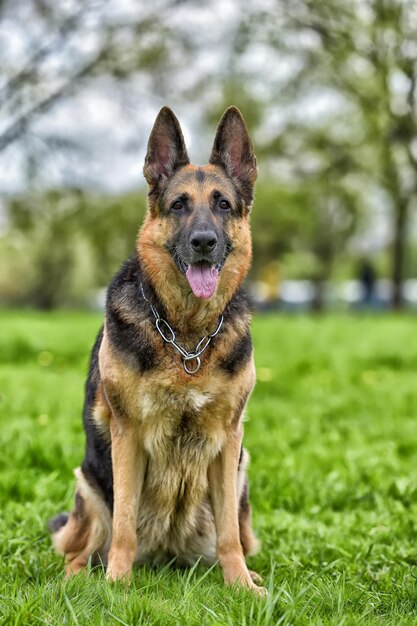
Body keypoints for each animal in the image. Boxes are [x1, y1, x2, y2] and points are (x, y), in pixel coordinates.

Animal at [48, 105, 264, 592]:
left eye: (223, 204)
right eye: (179, 204)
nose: (203, 242)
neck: (186, 337)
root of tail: (168, 554)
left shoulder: (228, 442)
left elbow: (228, 532)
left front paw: (240, 585)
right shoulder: (128, 436)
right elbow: (125, 523)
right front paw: (117, 585)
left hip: (243, 473)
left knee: (238, 532)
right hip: (89, 484)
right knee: (79, 549)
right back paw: (79, 579)